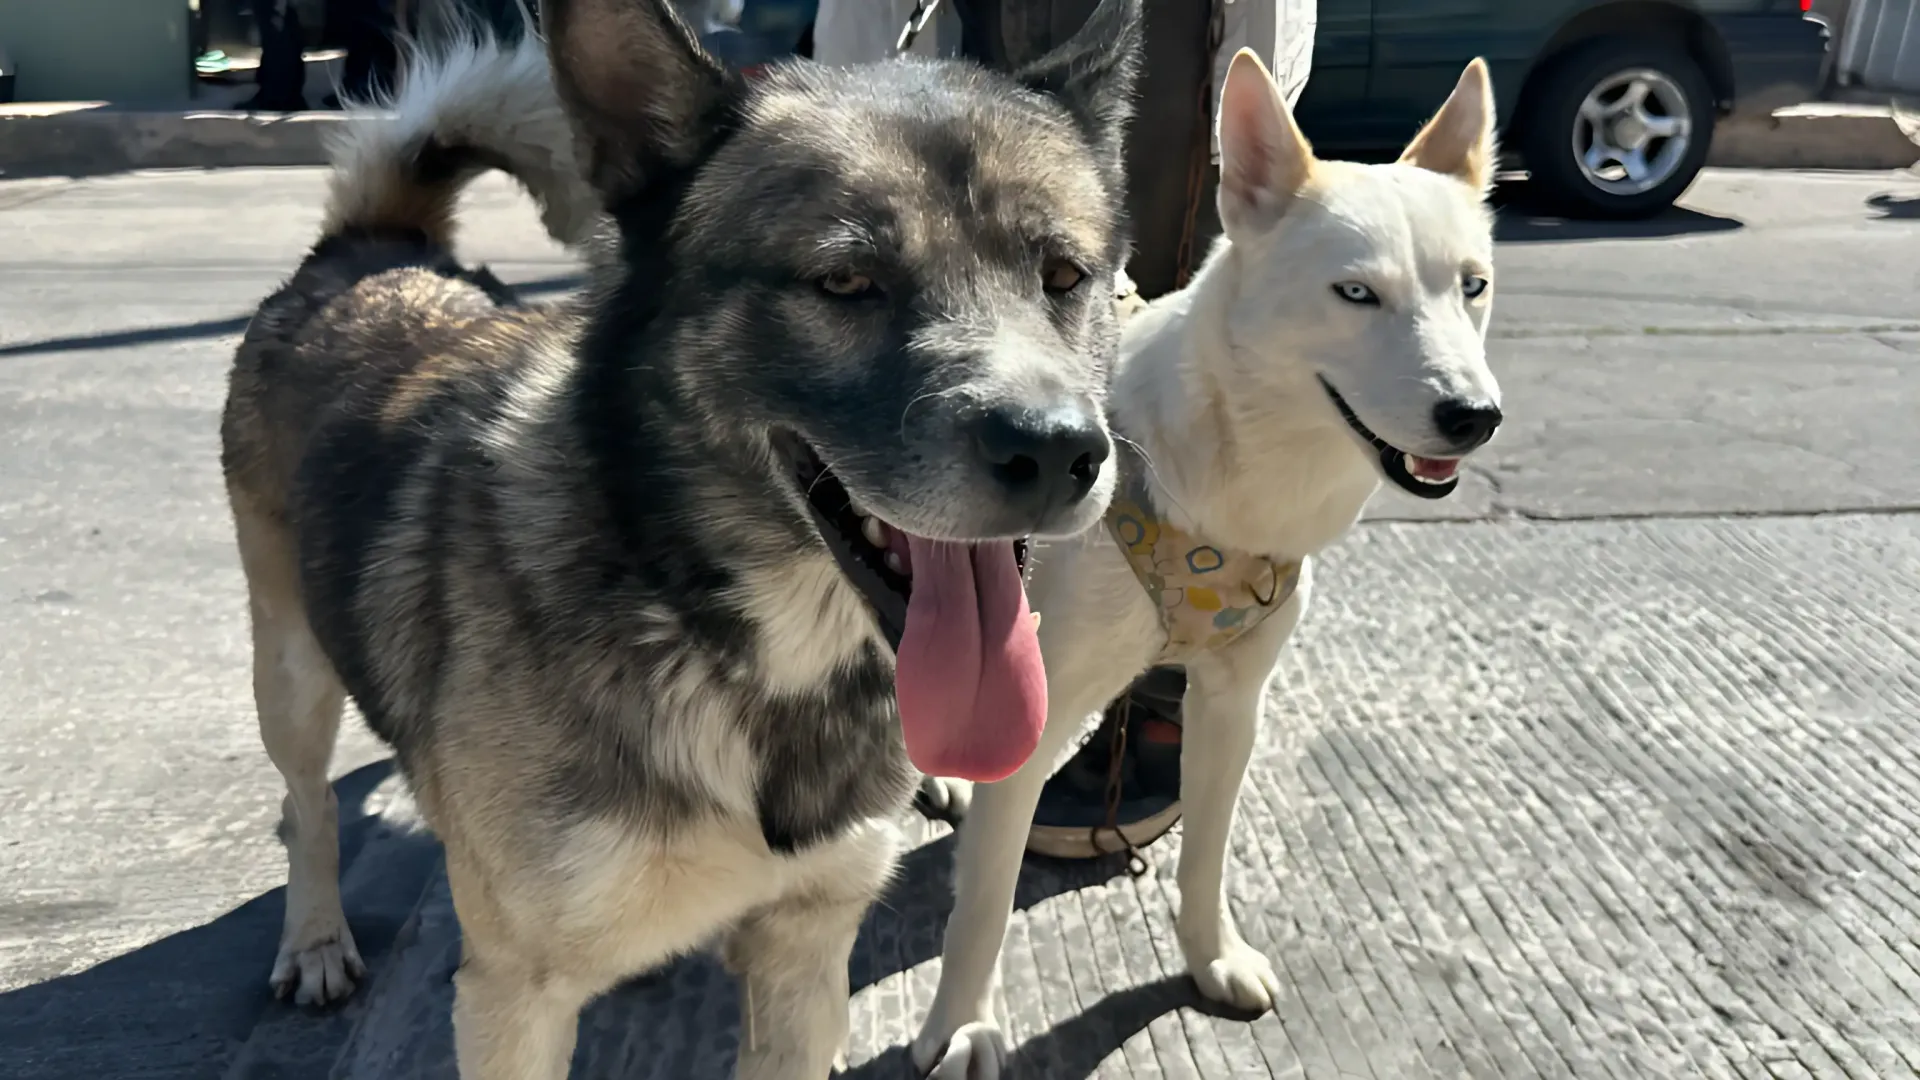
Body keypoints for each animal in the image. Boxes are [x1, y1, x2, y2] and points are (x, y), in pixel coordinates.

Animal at [220, 4, 1152, 1068]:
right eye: (845, 281)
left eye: (1064, 275)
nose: (1057, 451)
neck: (717, 643)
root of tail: (372, 249)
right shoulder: (512, 1001)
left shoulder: (805, 958)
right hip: (290, 673)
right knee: (306, 806)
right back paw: (315, 936)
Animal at [906, 46, 1505, 1068]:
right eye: (1356, 293)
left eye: (1473, 286)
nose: (1474, 416)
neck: (1228, 480)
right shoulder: (1039, 707)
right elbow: (983, 904)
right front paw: (962, 1027)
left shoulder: (1230, 706)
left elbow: (1205, 857)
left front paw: (1209, 959)